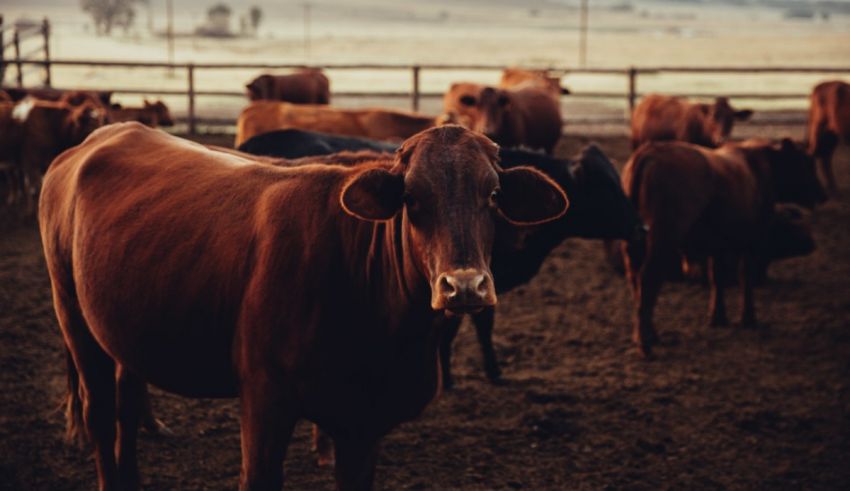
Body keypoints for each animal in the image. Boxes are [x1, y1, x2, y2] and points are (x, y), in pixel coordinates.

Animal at [41, 122, 568, 490]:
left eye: (494, 194)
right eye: (411, 197)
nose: (464, 286)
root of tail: (100, 137)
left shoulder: (361, 427)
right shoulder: (264, 402)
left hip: (127, 328)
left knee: (127, 407)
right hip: (73, 314)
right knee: (98, 412)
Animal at [621, 138, 826, 357]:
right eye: (806, 163)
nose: (821, 194)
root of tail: (650, 150)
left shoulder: (718, 244)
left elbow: (717, 277)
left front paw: (718, 317)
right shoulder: (751, 241)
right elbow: (746, 276)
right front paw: (748, 318)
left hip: (635, 243)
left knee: (635, 279)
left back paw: (647, 335)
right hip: (664, 237)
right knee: (649, 278)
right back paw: (645, 344)